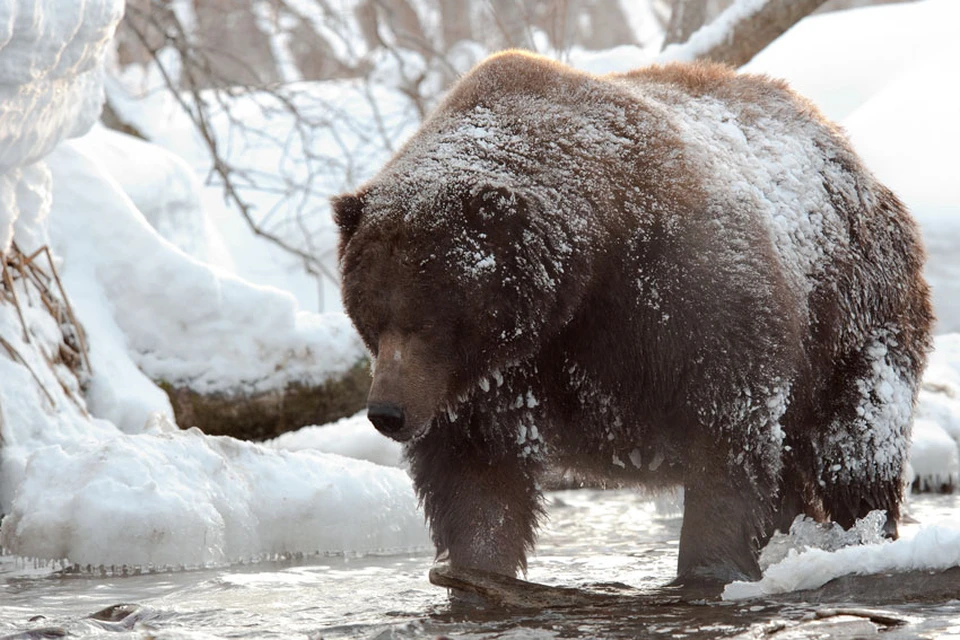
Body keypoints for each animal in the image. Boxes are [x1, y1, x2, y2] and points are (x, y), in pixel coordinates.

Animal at [334, 50, 932, 584]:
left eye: (430, 319)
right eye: (370, 317)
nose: (387, 411)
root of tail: (843, 146)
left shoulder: (680, 302)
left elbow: (727, 438)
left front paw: (708, 564)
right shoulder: (493, 382)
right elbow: (476, 482)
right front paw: (475, 568)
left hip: (850, 316)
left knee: (856, 441)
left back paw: (862, 532)